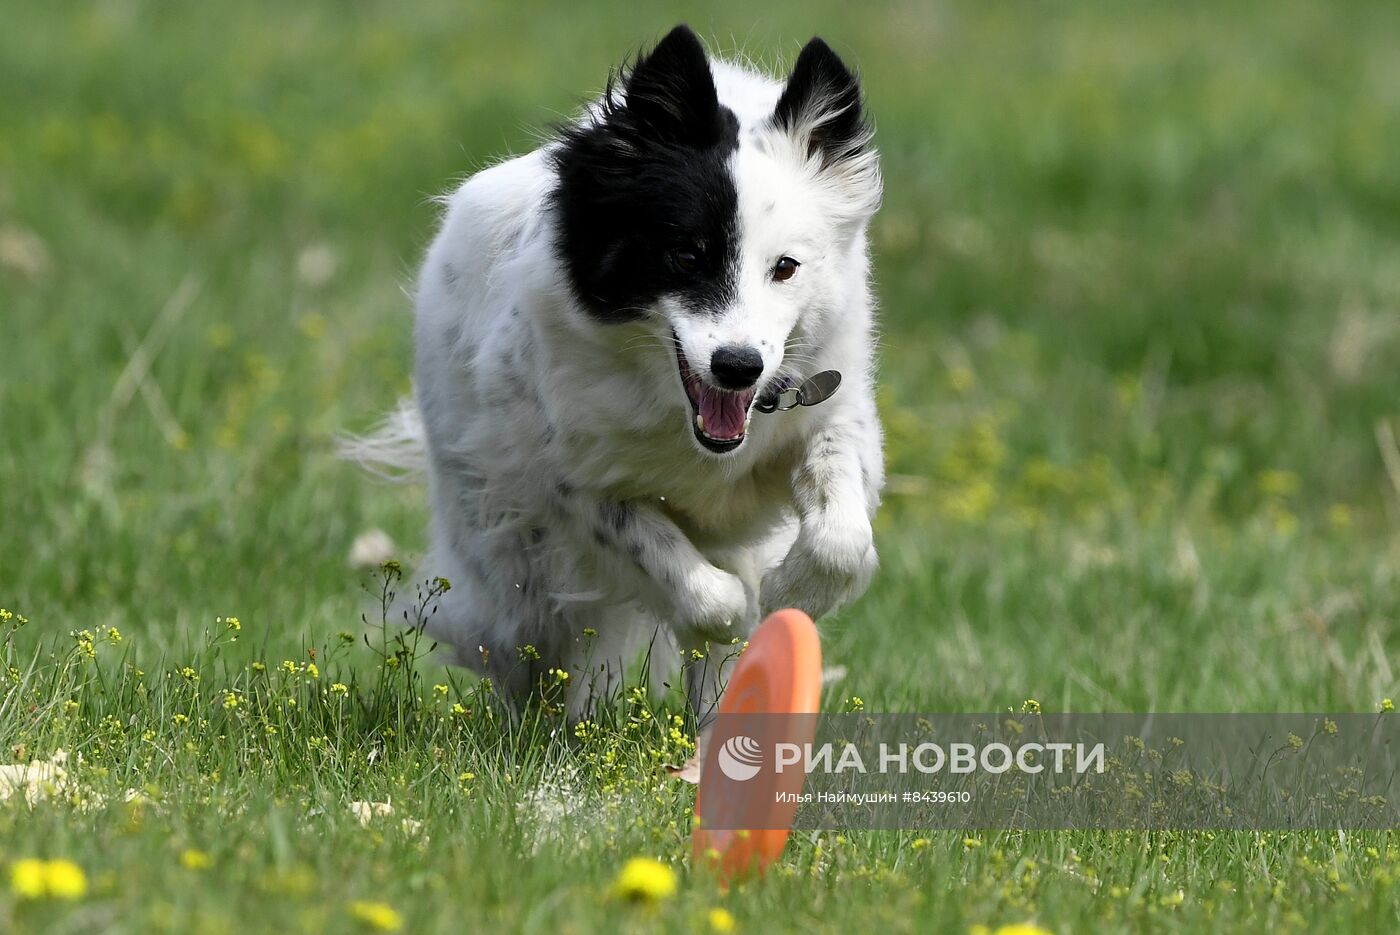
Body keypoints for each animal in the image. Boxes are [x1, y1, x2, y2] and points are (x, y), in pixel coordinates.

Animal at [358, 23, 884, 722]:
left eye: (786, 267)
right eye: (685, 256)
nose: (738, 368)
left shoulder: (829, 413)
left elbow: (840, 536)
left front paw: (792, 593)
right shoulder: (568, 483)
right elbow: (696, 586)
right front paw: (739, 607)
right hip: (505, 550)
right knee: (526, 639)